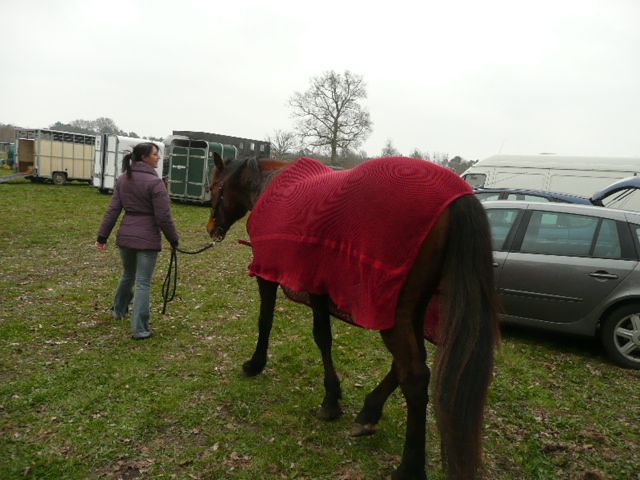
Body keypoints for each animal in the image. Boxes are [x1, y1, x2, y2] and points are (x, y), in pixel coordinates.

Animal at [206, 152, 500, 480]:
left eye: (213, 187)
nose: (211, 228)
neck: (268, 185)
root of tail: (457, 196)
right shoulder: (318, 286)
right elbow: (322, 335)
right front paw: (333, 397)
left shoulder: (270, 274)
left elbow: (276, 324)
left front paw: (260, 365)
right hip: (414, 309)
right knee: (407, 365)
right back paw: (370, 411)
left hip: (394, 313)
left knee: (414, 375)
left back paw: (409, 465)